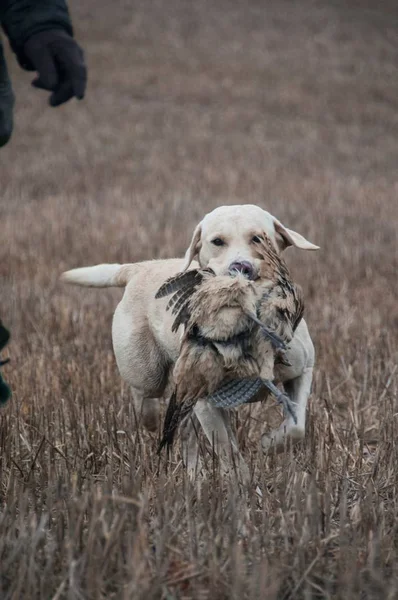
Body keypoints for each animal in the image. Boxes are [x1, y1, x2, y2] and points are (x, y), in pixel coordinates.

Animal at [61, 206, 318, 478]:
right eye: (217, 241)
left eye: (257, 238)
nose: (241, 267)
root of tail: (139, 268)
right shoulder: (205, 401)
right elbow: (227, 449)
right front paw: (242, 482)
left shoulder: (303, 370)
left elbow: (297, 426)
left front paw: (269, 443)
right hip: (147, 373)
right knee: (145, 397)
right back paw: (151, 420)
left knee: (185, 433)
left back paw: (194, 477)